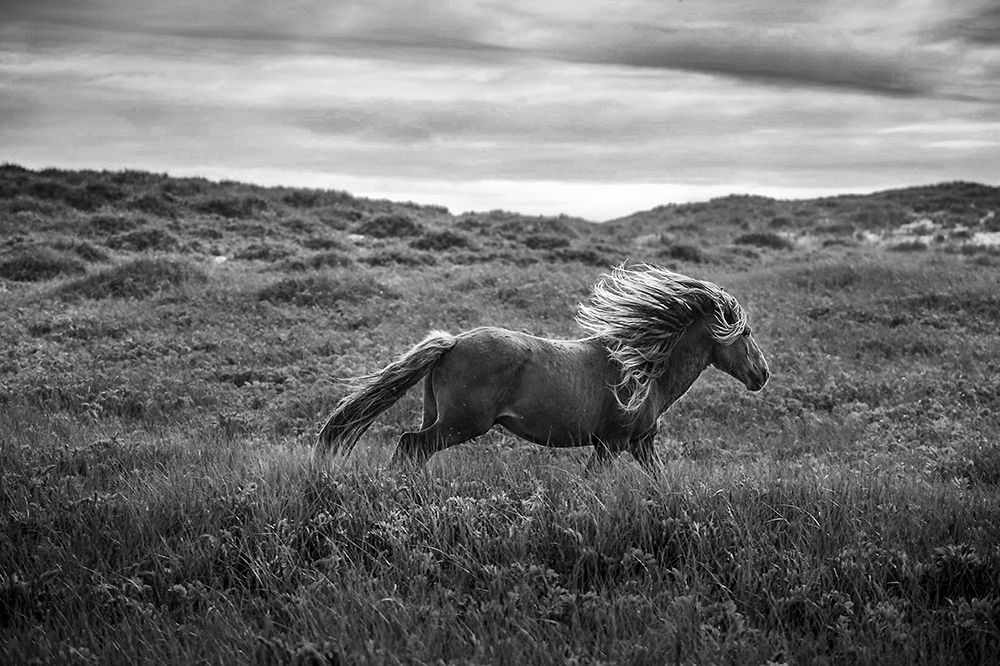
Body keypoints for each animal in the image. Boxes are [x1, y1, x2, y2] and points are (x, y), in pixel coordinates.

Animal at [316, 262, 768, 470]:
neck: (643, 369)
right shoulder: (613, 443)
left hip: (440, 417)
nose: (762, 375)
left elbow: (660, 482)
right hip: (462, 424)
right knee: (412, 445)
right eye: (744, 332)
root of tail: (454, 342)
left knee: (412, 449)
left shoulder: (641, 443)